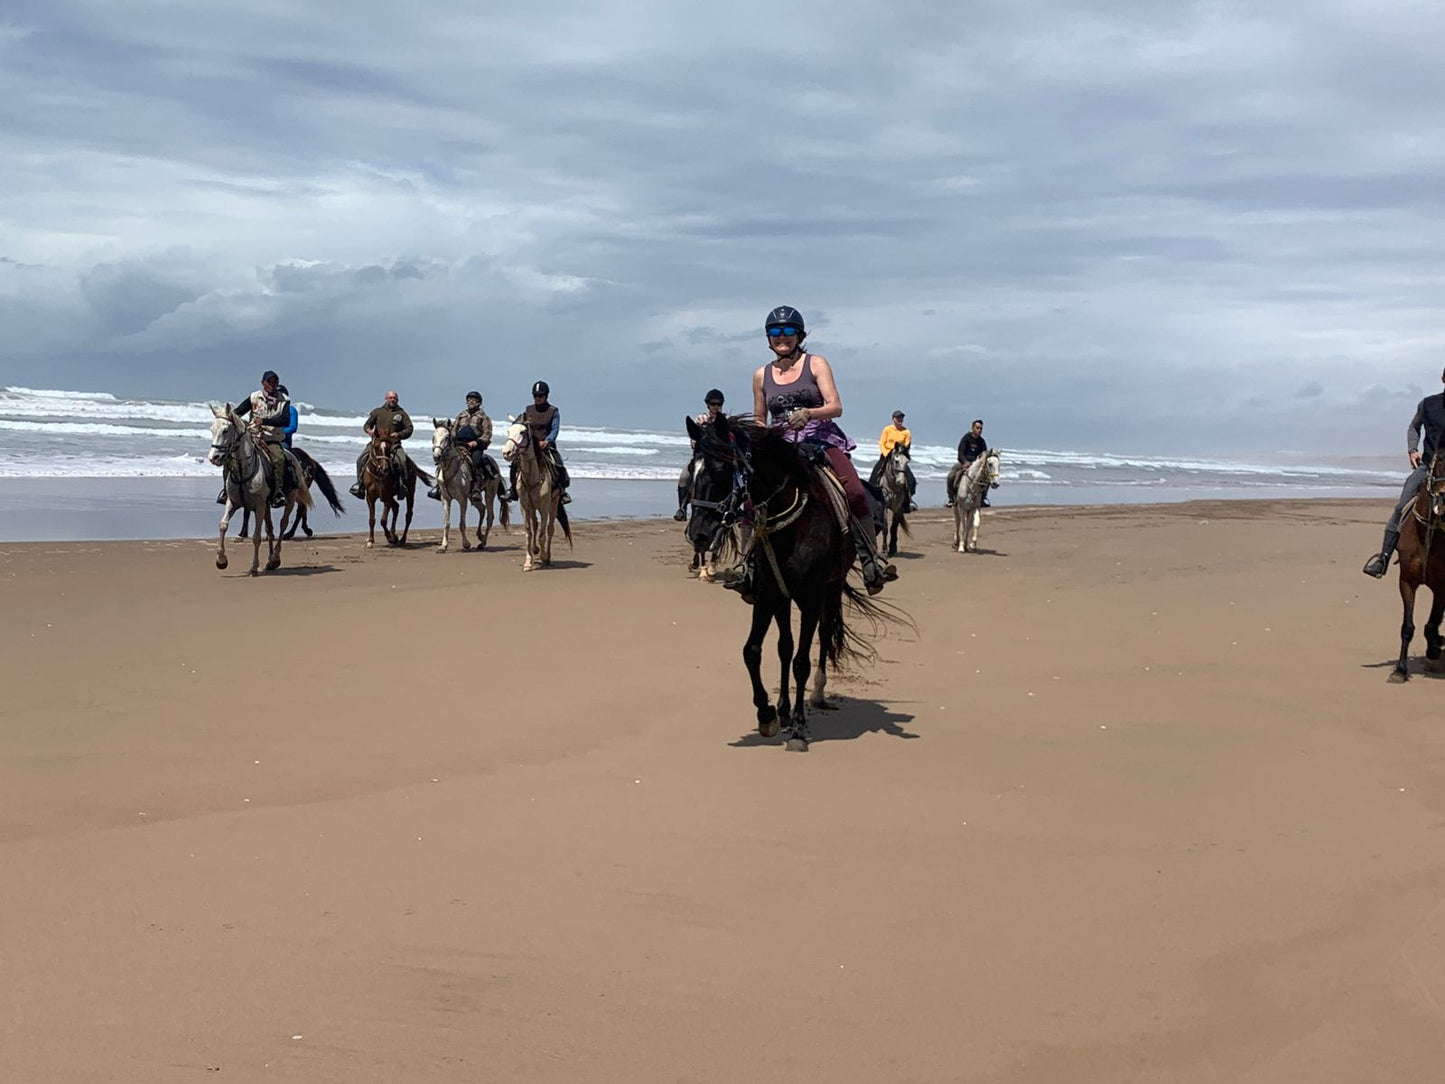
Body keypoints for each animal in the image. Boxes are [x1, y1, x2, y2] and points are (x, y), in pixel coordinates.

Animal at [206, 404, 310, 578]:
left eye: (226, 430)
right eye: (212, 429)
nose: (214, 457)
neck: (243, 471)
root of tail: (294, 458)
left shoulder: (259, 507)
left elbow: (256, 537)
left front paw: (253, 567)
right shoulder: (232, 503)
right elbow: (223, 525)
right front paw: (221, 561)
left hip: (288, 501)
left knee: (283, 524)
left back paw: (275, 558)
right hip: (267, 506)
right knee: (270, 529)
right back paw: (270, 563)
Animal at [427, 419, 508, 555]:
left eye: (447, 437)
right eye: (433, 437)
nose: (437, 456)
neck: (451, 470)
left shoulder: (462, 499)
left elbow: (462, 524)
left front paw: (466, 544)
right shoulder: (445, 499)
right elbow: (446, 523)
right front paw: (443, 546)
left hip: (489, 493)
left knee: (490, 517)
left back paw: (482, 543)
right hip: (473, 498)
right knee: (482, 509)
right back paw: (479, 535)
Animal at [502, 419, 569, 572]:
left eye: (522, 432)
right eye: (508, 431)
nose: (506, 452)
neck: (532, 478)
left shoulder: (544, 507)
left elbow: (543, 534)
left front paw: (543, 558)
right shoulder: (525, 506)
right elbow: (529, 532)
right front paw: (528, 562)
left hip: (554, 502)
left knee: (550, 529)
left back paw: (547, 558)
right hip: (532, 508)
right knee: (535, 524)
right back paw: (535, 550)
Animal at [710, 410, 901, 751]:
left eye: (718, 470)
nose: (699, 527)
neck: (791, 522)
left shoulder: (811, 596)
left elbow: (801, 661)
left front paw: (799, 729)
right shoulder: (768, 592)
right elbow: (754, 651)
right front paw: (769, 715)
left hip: (831, 587)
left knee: (824, 635)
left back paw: (818, 695)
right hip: (787, 597)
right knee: (785, 645)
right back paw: (784, 709)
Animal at [1387, 456, 1445, 679]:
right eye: (1439, 460)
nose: (1443, 495)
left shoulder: (1442, 588)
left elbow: (1432, 623)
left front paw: (1434, 649)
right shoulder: (1407, 582)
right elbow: (1407, 626)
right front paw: (1400, 669)